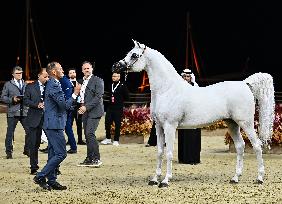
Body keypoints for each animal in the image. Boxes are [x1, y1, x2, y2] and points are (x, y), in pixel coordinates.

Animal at [113, 39, 276, 188]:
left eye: (134, 55)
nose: (116, 66)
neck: (167, 89)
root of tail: (245, 84)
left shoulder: (170, 126)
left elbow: (169, 153)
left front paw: (165, 180)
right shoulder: (159, 127)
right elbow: (159, 152)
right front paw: (154, 179)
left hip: (245, 123)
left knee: (257, 145)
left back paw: (259, 178)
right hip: (232, 124)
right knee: (240, 146)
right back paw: (235, 178)